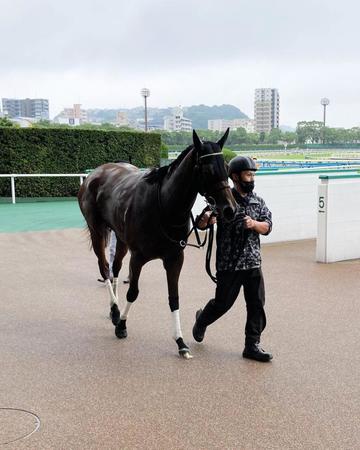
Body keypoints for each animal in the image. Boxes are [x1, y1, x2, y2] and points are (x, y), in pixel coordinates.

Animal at [78, 129, 236, 358]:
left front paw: (180, 341)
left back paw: (114, 310)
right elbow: (133, 292)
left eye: (226, 166)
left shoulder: (175, 258)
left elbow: (174, 297)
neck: (164, 206)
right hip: (97, 230)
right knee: (104, 267)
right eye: (207, 169)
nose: (230, 209)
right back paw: (116, 310)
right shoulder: (138, 257)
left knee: (115, 267)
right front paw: (122, 326)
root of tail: (95, 173)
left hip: (121, 236)